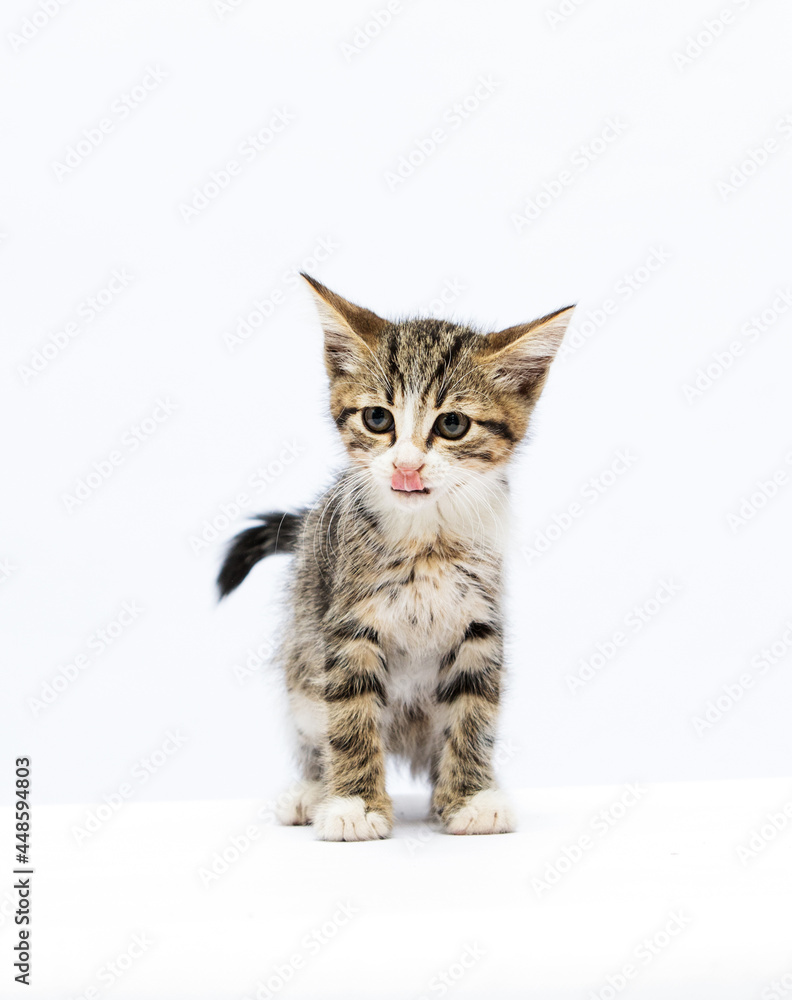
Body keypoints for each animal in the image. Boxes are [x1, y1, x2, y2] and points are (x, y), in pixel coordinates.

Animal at [220, 278, 572, 840]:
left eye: (453, 424)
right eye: (377, 418)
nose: (407, 466)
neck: (427, 542)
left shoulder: (479, 624)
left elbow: (473, 711)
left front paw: (471, 797)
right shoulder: (345, 624)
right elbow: (350, 715)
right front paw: (354, 805)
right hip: (301, 663)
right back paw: (312, 791)